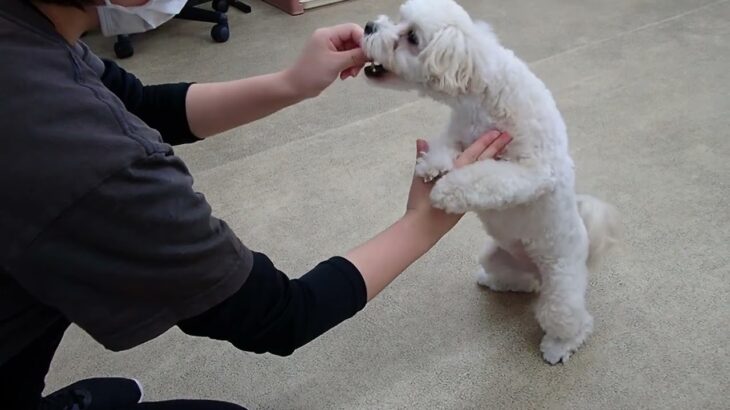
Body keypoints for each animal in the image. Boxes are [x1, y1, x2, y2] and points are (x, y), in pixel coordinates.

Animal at [362, 0, 616, 364]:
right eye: (399, 17)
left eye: (411, 36)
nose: (368, 26)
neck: (482, 92)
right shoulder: (458, 132)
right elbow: (444, 147)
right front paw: (431, 166)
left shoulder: (534, 172)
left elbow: (486, 178)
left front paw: (447, 191)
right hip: (495, 256)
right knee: (524, 283)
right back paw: (495, 281)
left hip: (561, 291)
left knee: (575, 322)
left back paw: (559, 346)